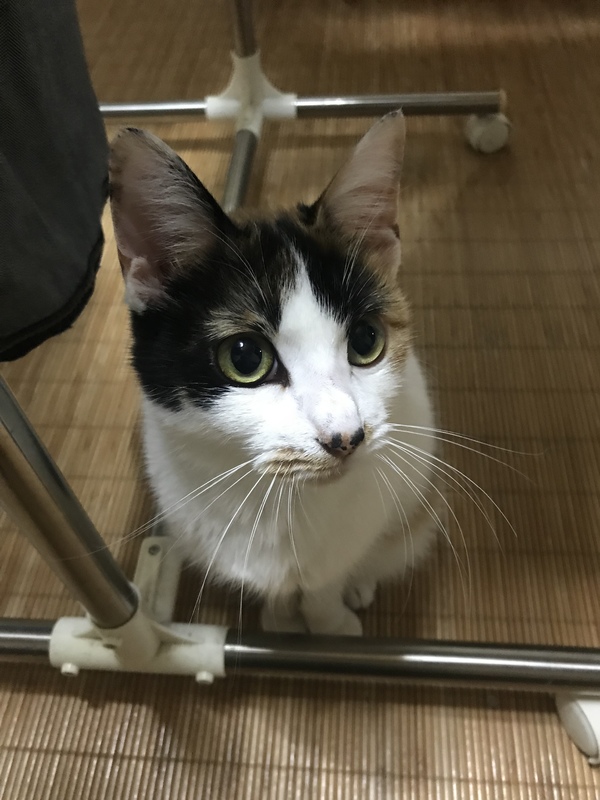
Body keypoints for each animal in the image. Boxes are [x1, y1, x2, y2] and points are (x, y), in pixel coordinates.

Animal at [109, 111, 439, 636]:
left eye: (366, 340)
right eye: (245, 358)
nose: (346, 437)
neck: (285, 505)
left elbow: (327, 578)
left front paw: (330, 623)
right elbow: (280, 590)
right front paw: (282, 618)